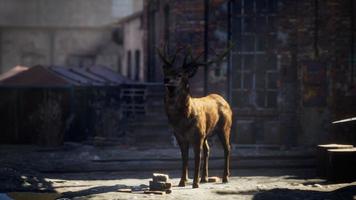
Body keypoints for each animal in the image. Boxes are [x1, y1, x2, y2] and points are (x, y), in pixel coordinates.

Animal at [157, 44, 232, 188]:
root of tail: (225, 101)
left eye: (179, 75)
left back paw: (225, 177)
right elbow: (184, 158)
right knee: (207, 150)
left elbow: (197, 158)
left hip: (225, 127)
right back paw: (204, 178)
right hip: (207, 132)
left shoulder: (197, 136)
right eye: (167, 72)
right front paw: (182, 181)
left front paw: (194, 183)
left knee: (227, 149)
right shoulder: (180, 137)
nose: (166, 79)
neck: (182, 122)